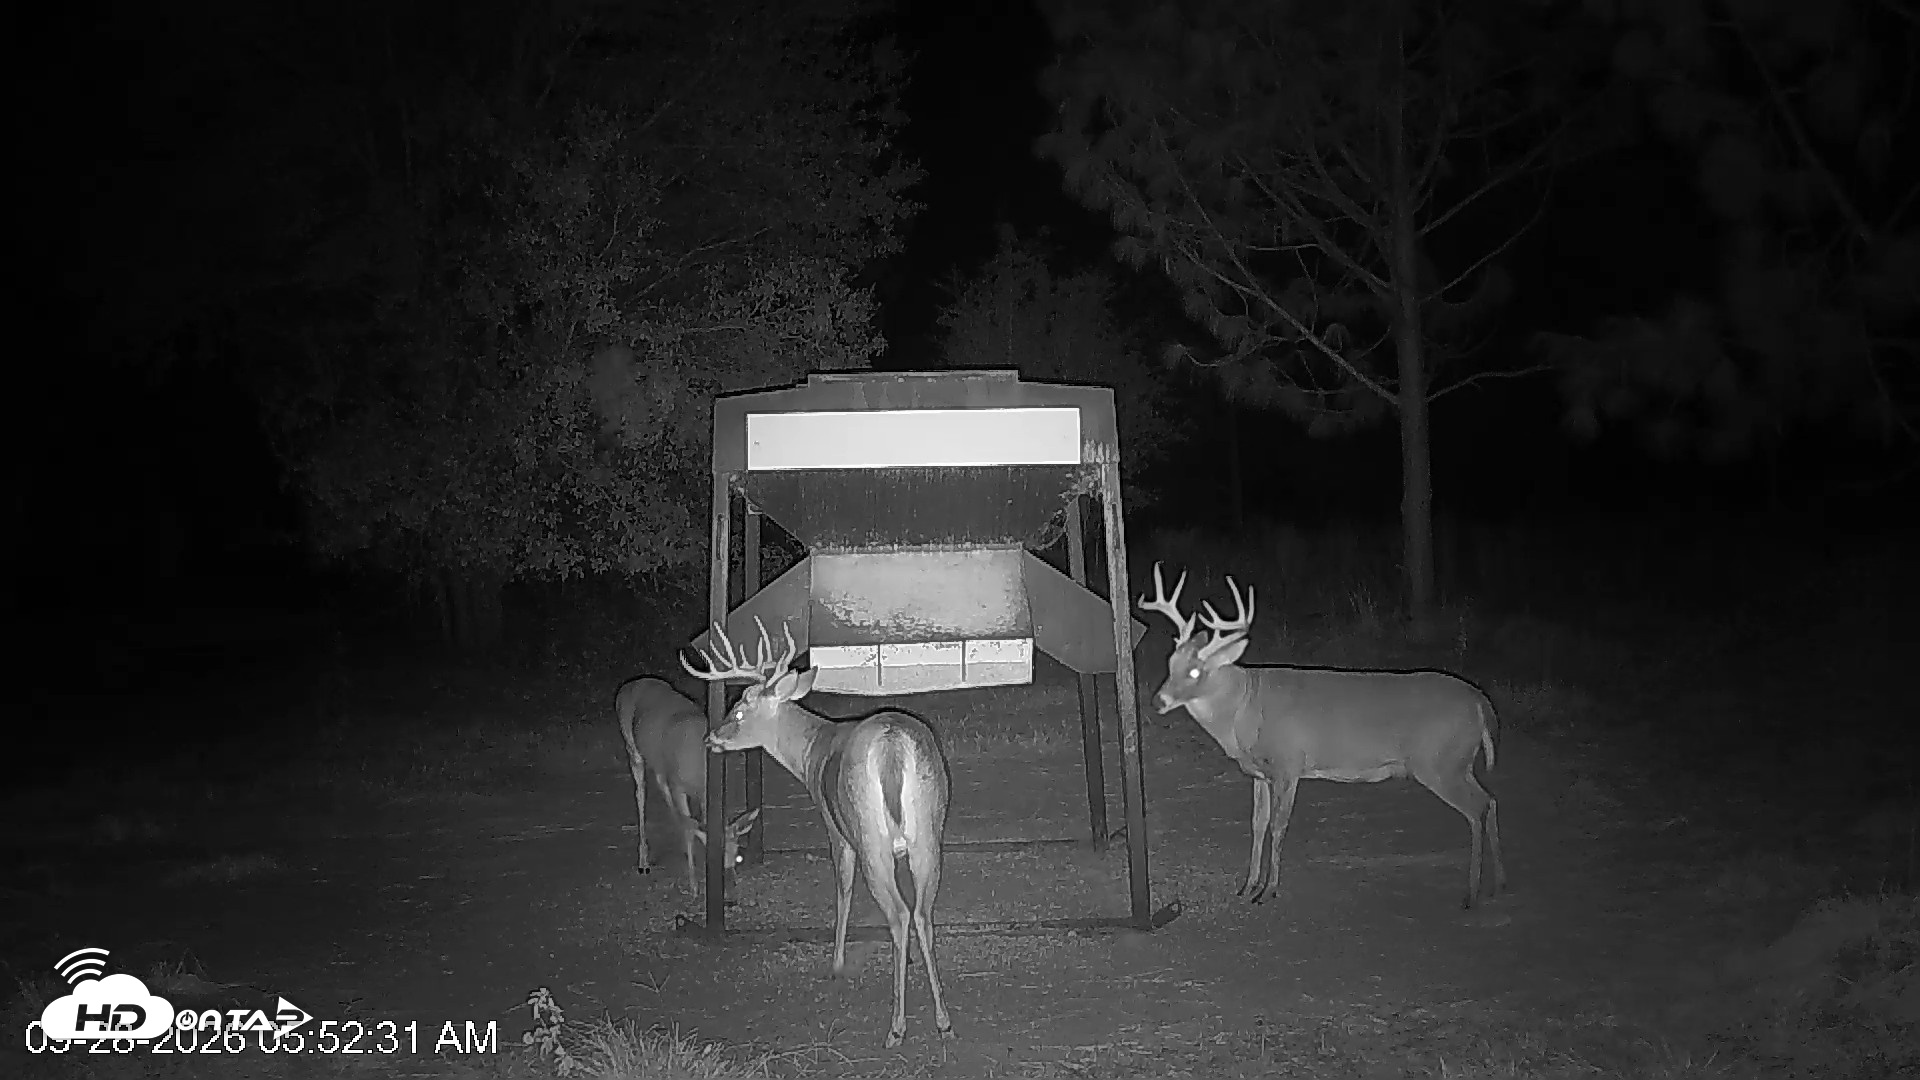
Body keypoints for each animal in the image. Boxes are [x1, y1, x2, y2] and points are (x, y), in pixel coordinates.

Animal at [615, 676, 761, 896]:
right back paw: (643, 861)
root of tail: (629, 685)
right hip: (631, 747)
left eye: (737, 855)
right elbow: (689, 831)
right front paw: (693, 886)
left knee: (661, 787)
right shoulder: (678, 785)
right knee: (640, 793)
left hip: (659, 765)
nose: (730, 888)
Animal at [682, 618, 956, 1049]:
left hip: (868, 834)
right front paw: (907, 959)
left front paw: (837, 961)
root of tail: (893, 747)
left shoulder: (835, 828)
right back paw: (943, 1020)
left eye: (738, 711)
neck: (812, 752)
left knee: (897, 913)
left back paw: (896, 1026)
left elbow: (842, 891)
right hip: (928, 832)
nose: (710, 738)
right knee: (923, 912)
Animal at [1138, 563, 1506, 910]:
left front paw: (1268, 891)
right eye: (1171, 662)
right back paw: (1497, 884)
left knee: (1476, 808)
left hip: (1438, 762)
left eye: (1195, 671)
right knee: (1489, 800)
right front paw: (1247, 886)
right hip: (1458, 762)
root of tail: (1481, 703)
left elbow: (1278, 826)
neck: (1244, 708)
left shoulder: (1288, 764)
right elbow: (1257, 824)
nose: (1159, 701)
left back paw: (1472, 893)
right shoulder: (1260, 773)